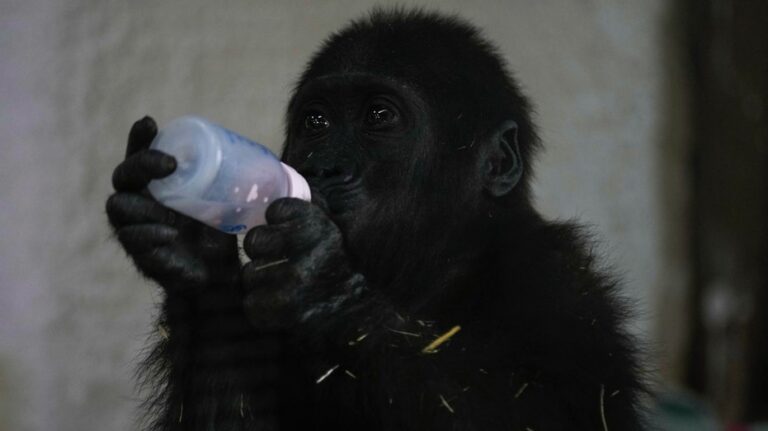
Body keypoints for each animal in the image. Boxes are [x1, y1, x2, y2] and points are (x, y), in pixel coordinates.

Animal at [108, 7, 648, 431]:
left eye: (379, 116)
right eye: (317, 122)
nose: (324, 168)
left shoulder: (560, 286)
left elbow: (540, 416)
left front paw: (324, 290)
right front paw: (192, 248)